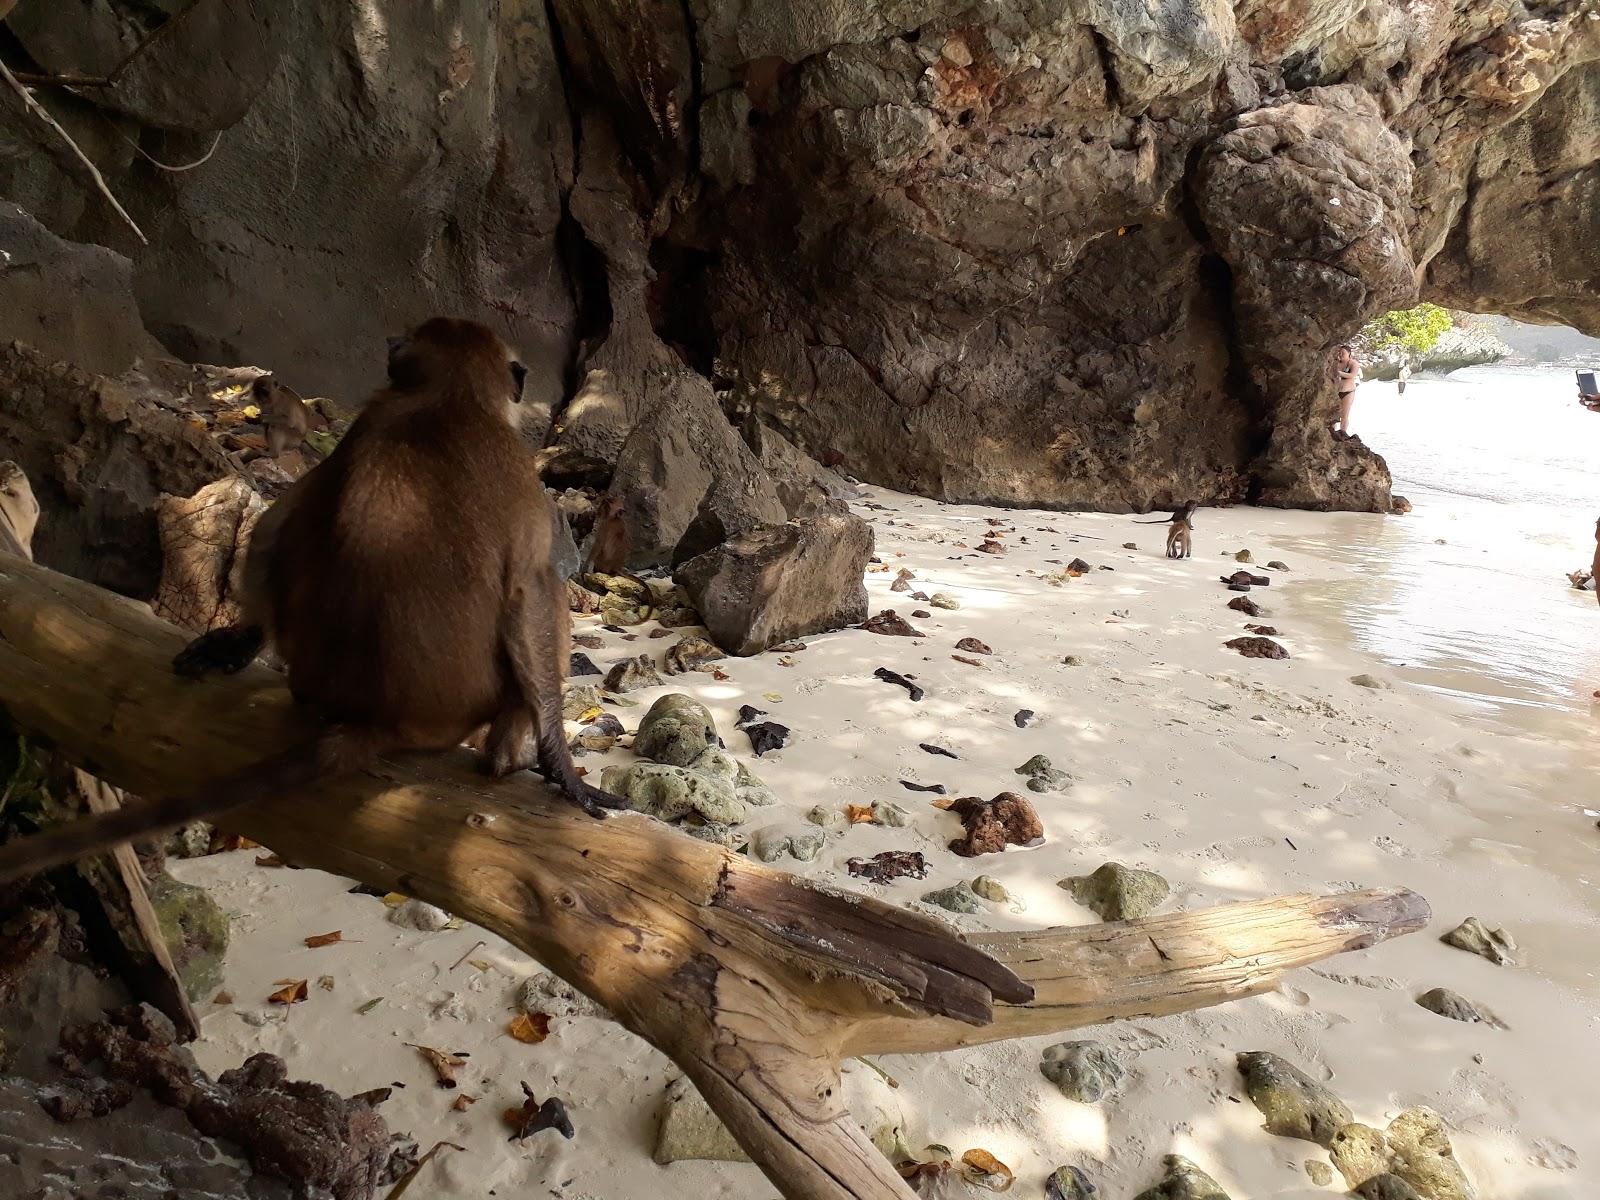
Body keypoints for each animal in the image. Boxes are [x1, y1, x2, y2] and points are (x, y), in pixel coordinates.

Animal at [0, 318, 625, 884]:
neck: (447, 399)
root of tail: (376, 721)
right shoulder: (517, 470)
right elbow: (530, 590)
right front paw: (560, 765)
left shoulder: (365, 421)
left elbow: (280, 521)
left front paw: (239, 637)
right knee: (543, 607)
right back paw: (504, 758)